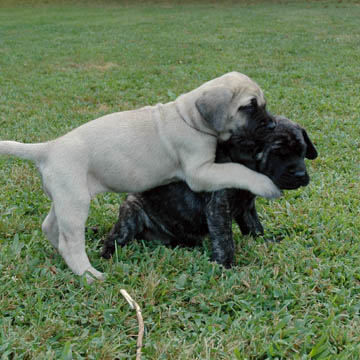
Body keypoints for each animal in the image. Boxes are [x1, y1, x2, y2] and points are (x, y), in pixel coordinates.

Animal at [102, 116, 318, 268]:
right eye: (277, 154)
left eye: (302, 151)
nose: (300, 174)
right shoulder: (218, 207)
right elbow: (224, 239)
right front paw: (224, 266)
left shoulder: (247, 206)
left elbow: (254, 227)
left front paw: (263, 241)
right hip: (132, 210)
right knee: (115, 238)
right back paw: (107, 256)